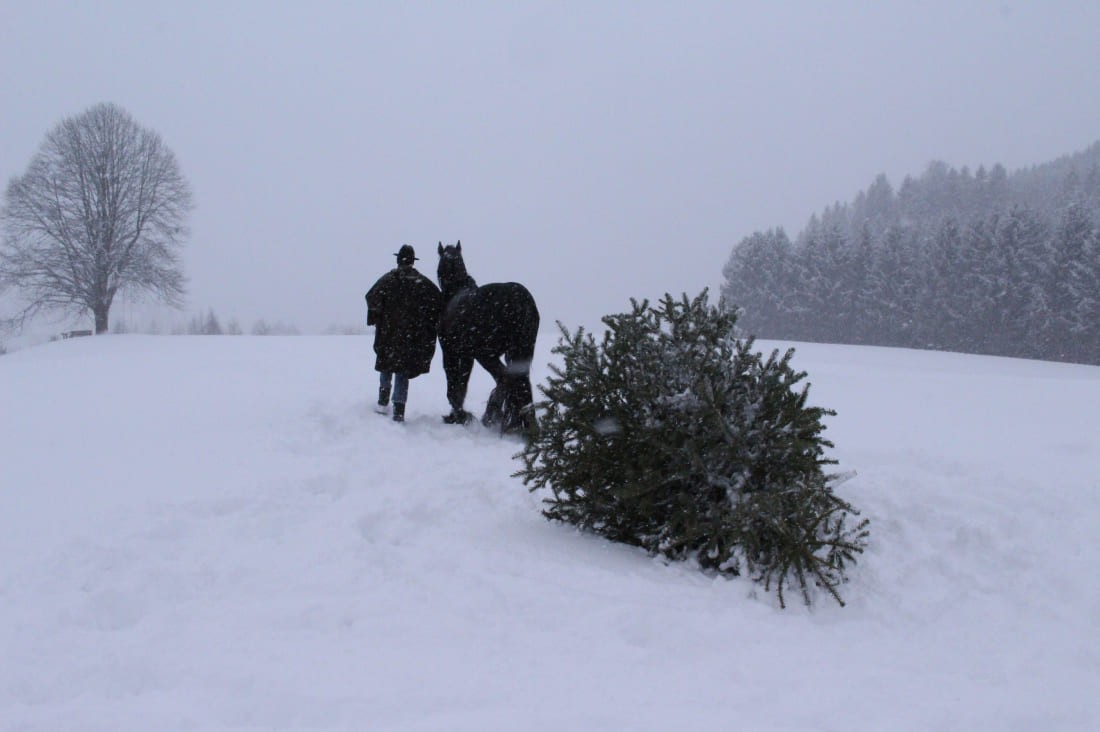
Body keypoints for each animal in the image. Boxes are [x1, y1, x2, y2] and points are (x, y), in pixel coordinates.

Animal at [436, 241, 539, 433]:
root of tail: (520, 299)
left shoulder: (450, 353)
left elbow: (454, 387)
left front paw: (457, 416)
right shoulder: (467, 356)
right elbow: (462, 385)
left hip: (486, 354)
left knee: (504, 378)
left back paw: (492, 417)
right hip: (519, 351)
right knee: (518, 383)